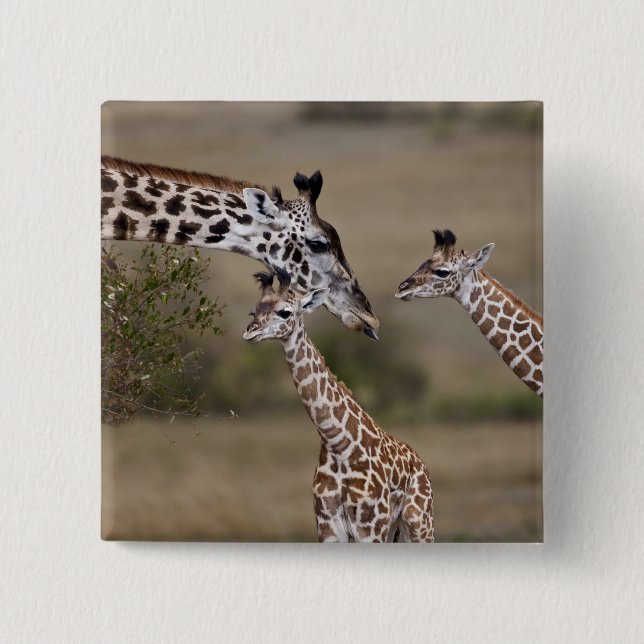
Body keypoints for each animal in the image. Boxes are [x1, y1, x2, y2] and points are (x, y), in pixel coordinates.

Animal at [242, 269, 435, 543]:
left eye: (285, 312)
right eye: (254, 312)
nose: (250, 332)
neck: (338, 443)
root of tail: (420, 463)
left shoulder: (370, 527)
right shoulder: (328, 526)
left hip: (419, 522)